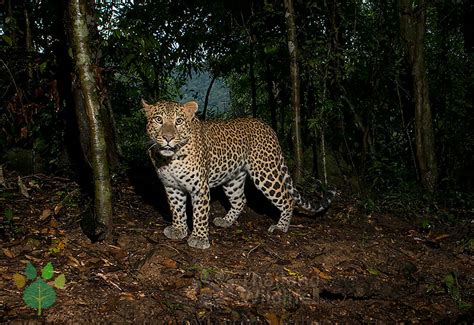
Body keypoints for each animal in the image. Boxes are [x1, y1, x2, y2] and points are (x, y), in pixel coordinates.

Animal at [143, 98, 336, 248]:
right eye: (158, 119)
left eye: (179, 121)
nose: (168, 138)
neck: (170, 159)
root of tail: (268, 128)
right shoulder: (172, 187)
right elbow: (177, 209)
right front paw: (178, 229)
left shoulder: (200, 187)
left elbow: (200, 213)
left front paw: (199, 238)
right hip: (233, 179)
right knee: (240, 200)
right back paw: (226, 221)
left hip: (265, 172)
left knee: (287, 198)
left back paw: (281, 227)